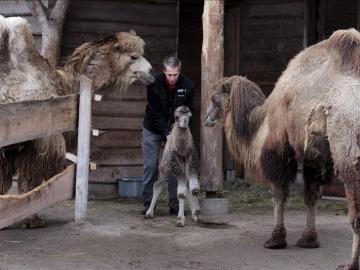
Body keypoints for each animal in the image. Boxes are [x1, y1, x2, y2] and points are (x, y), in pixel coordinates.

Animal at [0, 16, 153, 228]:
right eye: (133, 57)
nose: (151, 72)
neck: (67, 85)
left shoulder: (17, 148)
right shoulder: (42, 142)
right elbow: (30, 182)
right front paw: (32, 220)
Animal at [205, 28, 360, 270]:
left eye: (214, 98)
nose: (206, 119)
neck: (259, 121)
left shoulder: (278, 149)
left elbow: (278, 193)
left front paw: (275, 239)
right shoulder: (313, 157)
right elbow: (311, 196)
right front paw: (308, 240)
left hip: (349, 155)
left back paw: (350, 264)